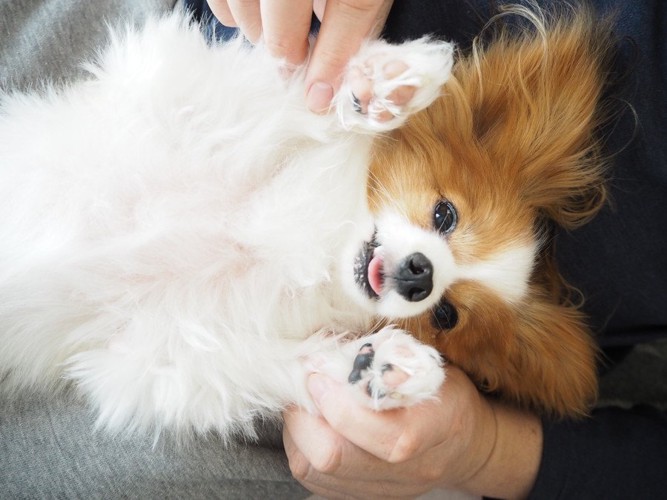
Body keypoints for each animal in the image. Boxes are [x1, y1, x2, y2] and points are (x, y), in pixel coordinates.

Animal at [0, 3, 616, 438]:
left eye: (446, 315)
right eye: (445, 214)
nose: (420, 275)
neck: (309, 242)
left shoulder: (157, 357)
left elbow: (293, 363)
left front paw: (379, 364)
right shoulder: (182, 95)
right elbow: (297, 100)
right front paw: (381, 89)